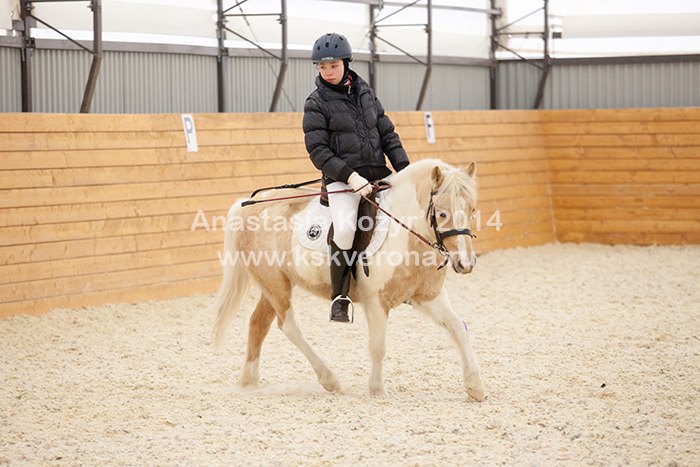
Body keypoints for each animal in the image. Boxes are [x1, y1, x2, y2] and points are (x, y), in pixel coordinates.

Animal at [213, 159, 484, 400]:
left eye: (472, 210)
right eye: (442, 213)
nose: (466, 264)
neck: (406, 233)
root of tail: (246, 206)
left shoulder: (428, 296)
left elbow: (459, 329)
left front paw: (475, 387)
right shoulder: (376, 302)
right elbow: (378, 346)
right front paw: (376, 390)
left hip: (274, 284)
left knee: (258, 324)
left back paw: (249, 382)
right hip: (275, 285)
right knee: (288, 326)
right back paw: (330, 380)